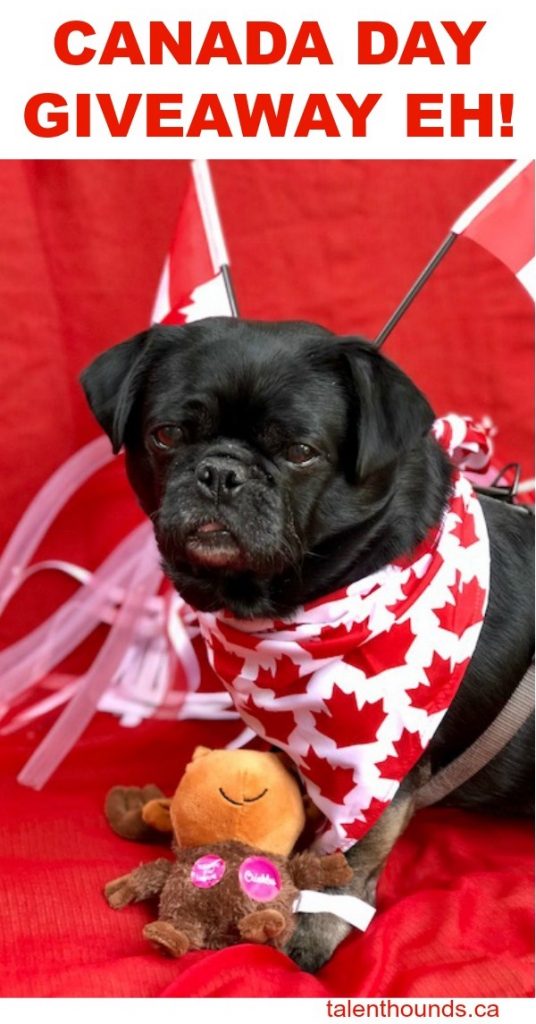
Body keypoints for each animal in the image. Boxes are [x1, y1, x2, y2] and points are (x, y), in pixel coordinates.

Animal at [81, 315, 532, 970]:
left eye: (299, 452)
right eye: (166, 436)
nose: (221, 472)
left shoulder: (374, 771)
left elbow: (346, 856)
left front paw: (310, 931)